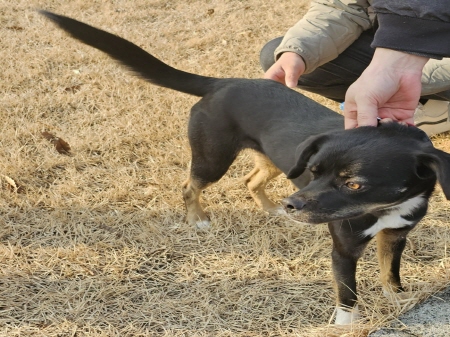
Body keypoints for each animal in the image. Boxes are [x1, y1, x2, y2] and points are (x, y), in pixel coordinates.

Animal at [39, 11, 450, 324]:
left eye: (353, 184)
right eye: (316, 171)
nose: (292, 205)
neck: (386, 207)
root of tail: (222, 83)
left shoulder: (395, 236)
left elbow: (389, 273)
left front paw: (398, 299)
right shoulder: (344, 250)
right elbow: (347, 296)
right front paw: (346, 326)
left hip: (273, 162)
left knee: (251, 181)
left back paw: (268, 210)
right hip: (213, 157)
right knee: (190, 186)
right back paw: (200, 219)